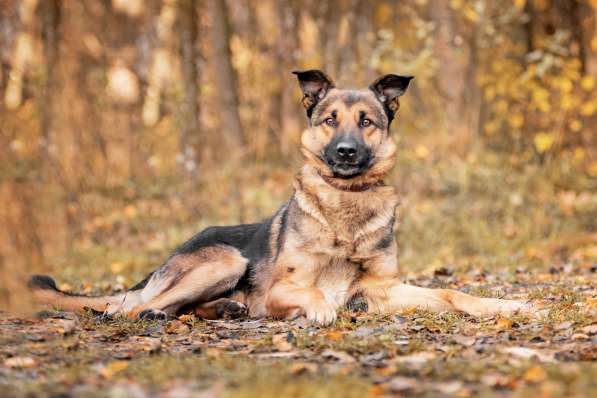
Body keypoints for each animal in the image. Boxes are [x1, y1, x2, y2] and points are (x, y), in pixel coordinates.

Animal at [30, 70, 528, 326]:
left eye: (367, 122)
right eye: (330, 119)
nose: (346, 152)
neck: (344, 205)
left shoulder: (384, 288)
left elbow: (450, 293)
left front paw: (506, 305)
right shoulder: (286, 288)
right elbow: (316, 293)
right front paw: (322, 308)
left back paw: (224, 308)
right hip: (225, 260)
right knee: (133, 309)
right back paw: (160, 312)